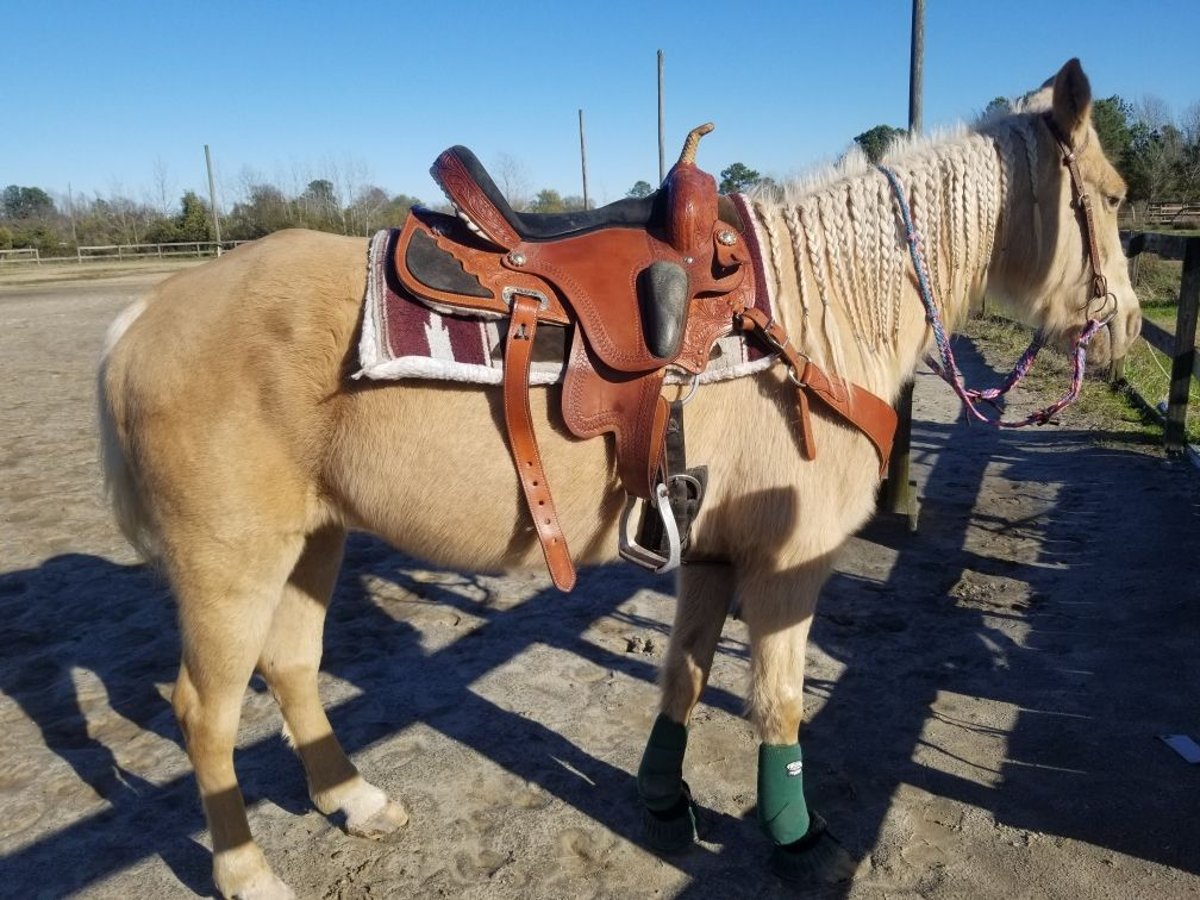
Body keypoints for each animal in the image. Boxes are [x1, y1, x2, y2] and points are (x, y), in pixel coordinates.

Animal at [98, 60, 1137, 897]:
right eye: (1116, 197)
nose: (1126, 324)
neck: (816, 311)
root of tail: (145, 315)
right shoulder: (791, 560)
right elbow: (779, 701)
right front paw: (797, 840)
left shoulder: (713, 549)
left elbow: (685, 674)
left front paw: (664, 801)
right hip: (229, 565)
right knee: (206, 712)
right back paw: (247, 871)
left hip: (314, 540)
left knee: (293, 667)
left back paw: (351, 799)